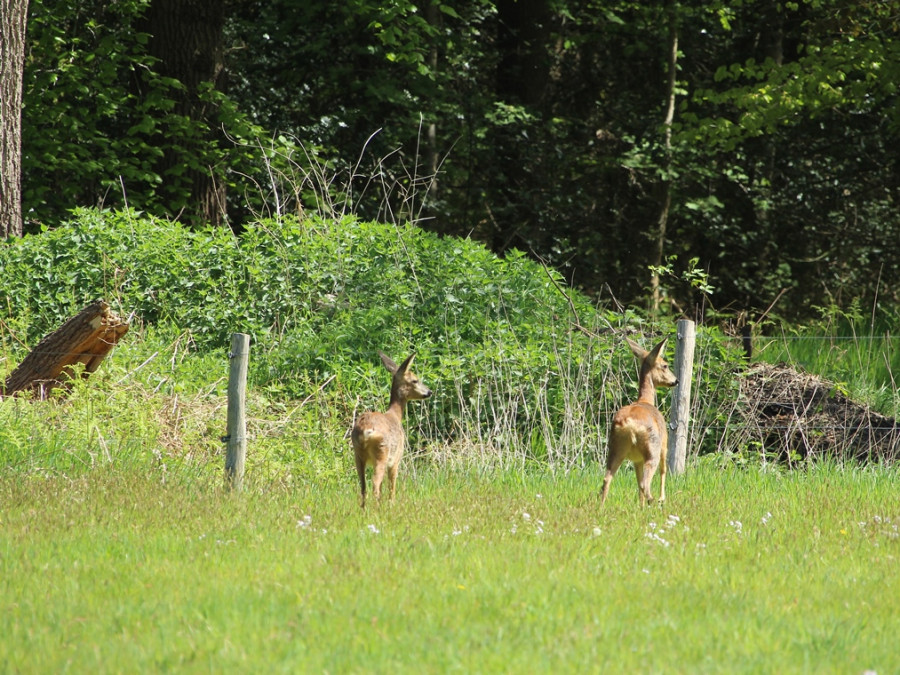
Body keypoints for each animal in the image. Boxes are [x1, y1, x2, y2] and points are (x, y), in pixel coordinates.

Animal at [352, 354, 432, 508]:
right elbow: (392, 485)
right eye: (415, 380)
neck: (395, 415)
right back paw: (377, 508)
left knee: (363, 486)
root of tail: (365, 431)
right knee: (375, 484)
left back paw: (364, 509)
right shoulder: (396, 458)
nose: (429, 392)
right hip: (382, 452)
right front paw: (392, 504)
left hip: (357, 454)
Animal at [600, 338, 680, 508]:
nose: (676, 380)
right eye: (665, 365)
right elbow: (664, 471)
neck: (646, 400)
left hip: (616, 448)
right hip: (652, 448)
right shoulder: (664, 443)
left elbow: (637, 479)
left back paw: (601, 507)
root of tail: (629, 424)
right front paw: (662, 498)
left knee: (607, 478)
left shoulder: (637, 459)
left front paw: (641, 505)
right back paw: (653, 501)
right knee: (646, 482)